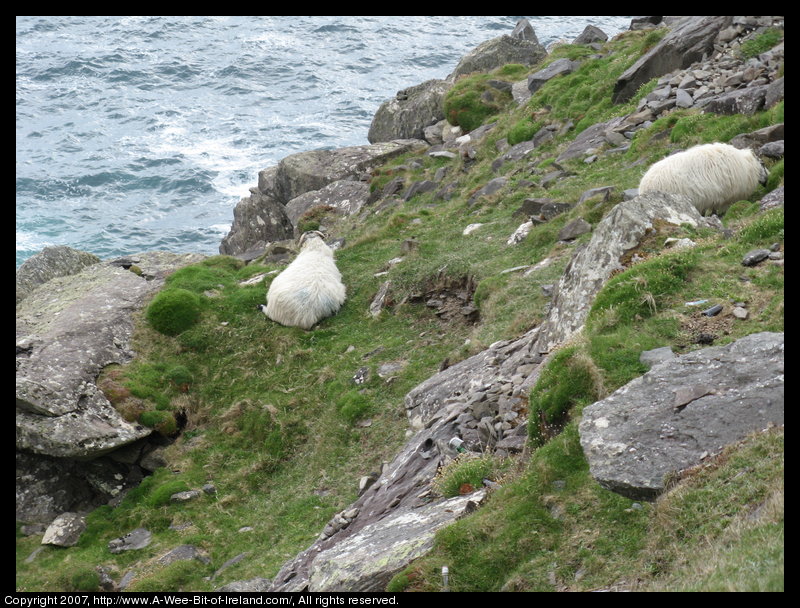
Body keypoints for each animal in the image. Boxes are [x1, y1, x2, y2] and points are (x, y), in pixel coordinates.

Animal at [636, 142, 768, 216]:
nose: (767, 181)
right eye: (763, 163)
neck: (747, 165)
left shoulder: (711, 197)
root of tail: (643, 186)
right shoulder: (724, 195)